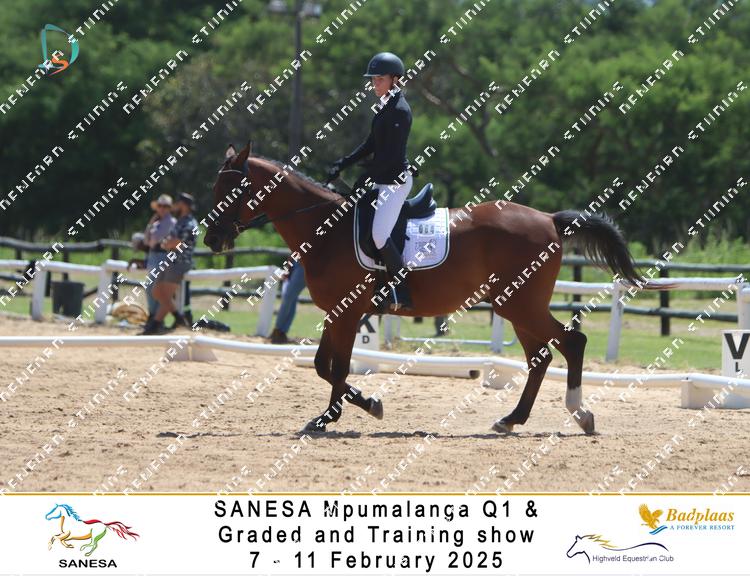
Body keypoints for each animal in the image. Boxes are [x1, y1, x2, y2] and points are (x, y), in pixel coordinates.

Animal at [205, 142, 658, 435]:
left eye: (234, 189)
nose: (212, 240)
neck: (326, 228)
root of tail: (549, 219)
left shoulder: (348, 314)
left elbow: (338, 368)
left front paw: (331, 418)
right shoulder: (337, 313)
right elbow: (322, 366)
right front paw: (366, 405)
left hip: (520, 304)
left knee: (571, 343)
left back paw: (579, 414)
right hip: (514, 307)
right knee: (541, 357)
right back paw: (511, 419)